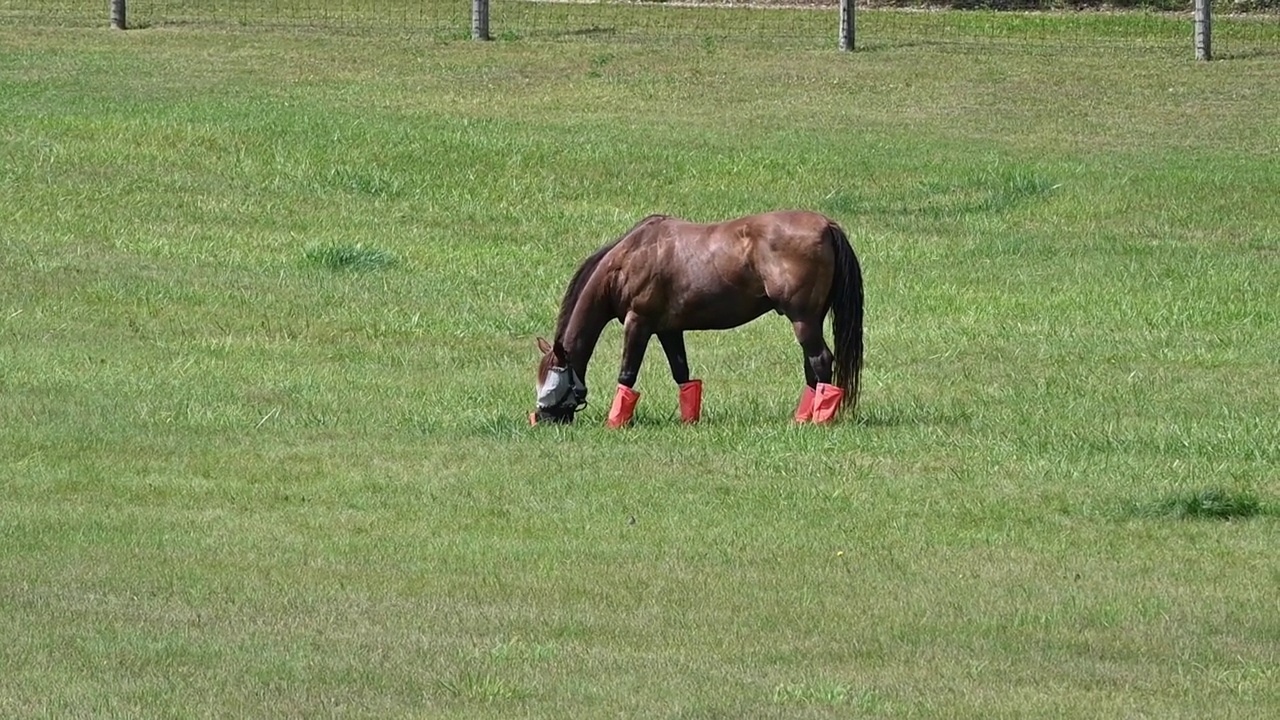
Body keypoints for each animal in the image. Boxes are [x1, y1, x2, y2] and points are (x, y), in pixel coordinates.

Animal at [524, 208, 865, 425]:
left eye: (552, 384)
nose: (541, 419)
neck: (628, 259)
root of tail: (826, 225)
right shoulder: (668, 330)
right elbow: (683, 374)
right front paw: (690, 421)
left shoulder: (639, 323)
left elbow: (627, 375)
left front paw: (614, 422)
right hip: (811, 320)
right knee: (812, 366)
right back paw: (802, 417)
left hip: (802, 319)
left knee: (821, 360)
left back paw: (818, 420)